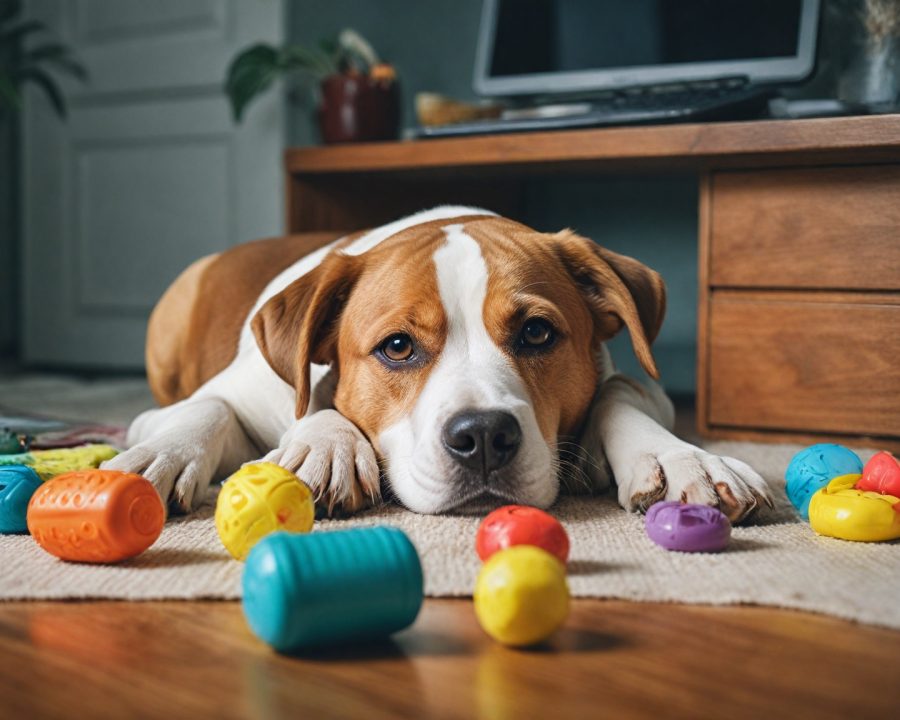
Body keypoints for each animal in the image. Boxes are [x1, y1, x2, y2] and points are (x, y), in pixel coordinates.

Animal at [102, 207, 768, 516]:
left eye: (536, 333)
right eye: (397, 347)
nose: (484, 437)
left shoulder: (641, 387)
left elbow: (623, 392)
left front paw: (679, 459)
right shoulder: (215, 398)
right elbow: (211, 411)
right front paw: (322, 444)